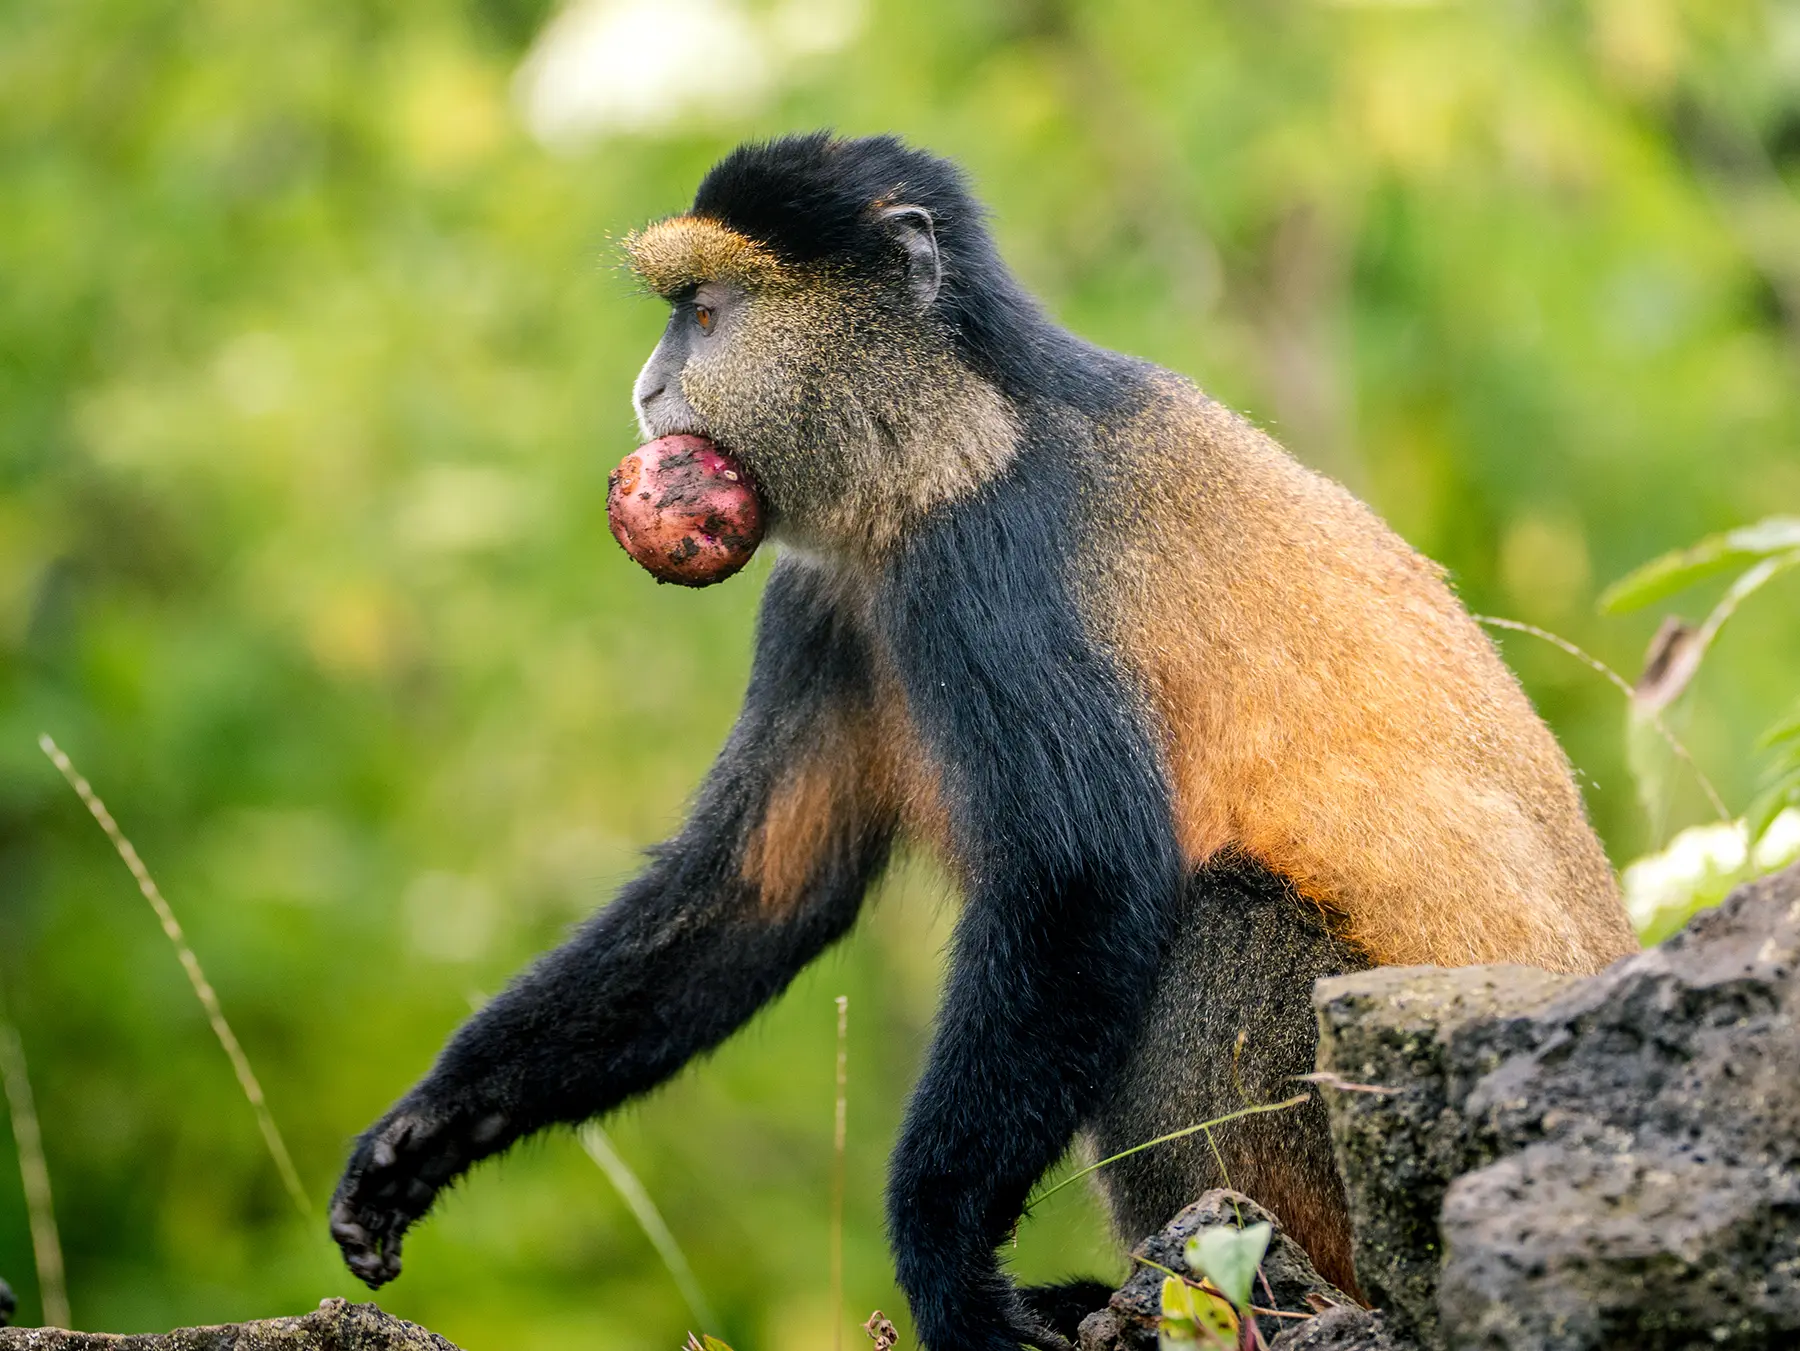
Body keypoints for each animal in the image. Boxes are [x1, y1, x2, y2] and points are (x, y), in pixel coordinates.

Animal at [329, 133, 1637, 1350]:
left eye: (704, 315)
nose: (650, 391)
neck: (956, 435)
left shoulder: (988, 562)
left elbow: (1082, 882)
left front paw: (947, 1262)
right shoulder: (824, 601)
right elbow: (757, 886)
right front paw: (424, 1133)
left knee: (1217, 922)